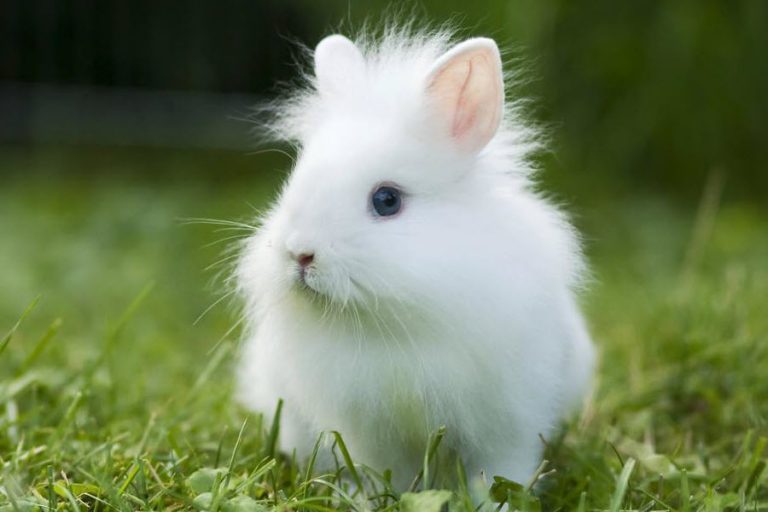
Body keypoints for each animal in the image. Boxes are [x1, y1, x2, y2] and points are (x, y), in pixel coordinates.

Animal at [235, 27, 595, 491]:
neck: (396, 322)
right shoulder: (366, 429)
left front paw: (495, 500)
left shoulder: (509, 422)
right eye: (293, 182)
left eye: (387, 200)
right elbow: (383, 471)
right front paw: (370, 496)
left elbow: (499, 471)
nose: (300, 253)